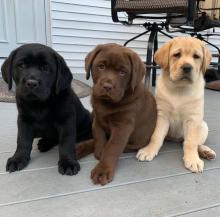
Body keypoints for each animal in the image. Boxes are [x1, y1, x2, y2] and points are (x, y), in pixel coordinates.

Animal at [1, 43, 92, 175]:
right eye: (21, 65)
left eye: (46, 68)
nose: (31, 83)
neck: (40, 104)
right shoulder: (23, 120)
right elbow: (22, 140)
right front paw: (18, 159)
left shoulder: (67, 120)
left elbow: (66, 142)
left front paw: (68, 162)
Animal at [79, 43, 156, 185]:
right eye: (101, 66)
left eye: (122, 72)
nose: (107, 86)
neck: (107, 103)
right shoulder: (97, 119)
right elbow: (98, 137)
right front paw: (99, 152)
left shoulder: (123, 126)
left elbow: (112, 147)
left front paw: (102, 170)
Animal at [137, 37, 216, 173]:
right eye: (177, 55)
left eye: (196, 56)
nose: (187, 67)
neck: (179, 89)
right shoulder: (161, 115)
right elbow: (156, 136)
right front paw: (149, 150)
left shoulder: (193, 119)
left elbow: (191, 142)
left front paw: (193, 160)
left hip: (203, 126)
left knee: (194, 142)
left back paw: (206, 151)